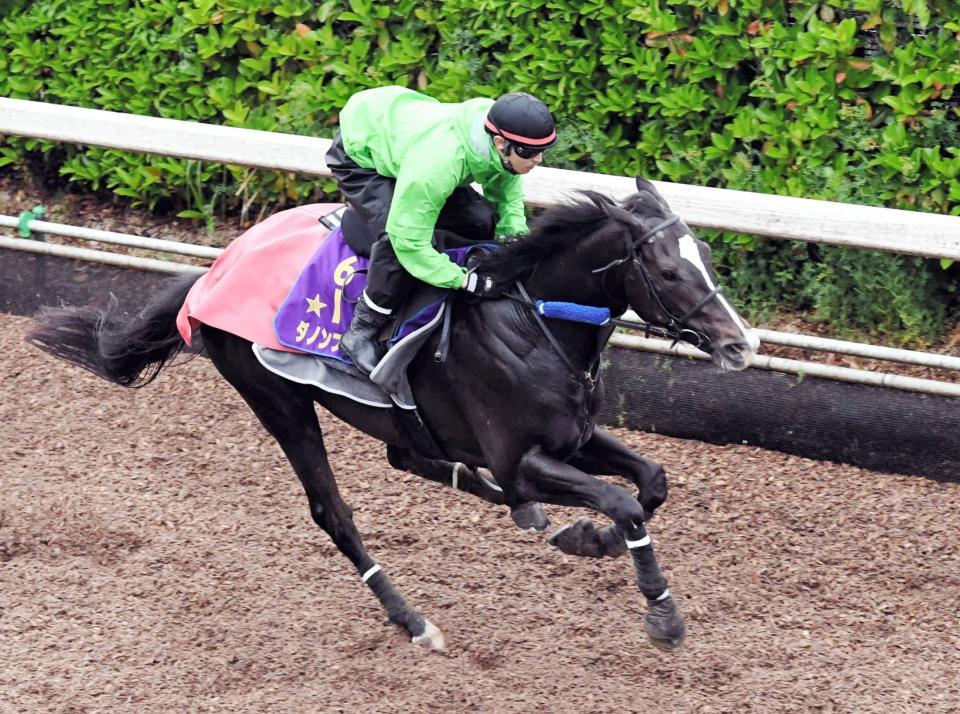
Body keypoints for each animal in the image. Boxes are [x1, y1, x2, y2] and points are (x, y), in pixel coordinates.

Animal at [27, 177, 759, 652]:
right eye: (670, 272)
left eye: (707, 257)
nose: (742, 344)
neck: (530, 318)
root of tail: (213, 272)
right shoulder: (520, 457)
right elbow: (622, 501)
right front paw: (660, 613)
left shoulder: (572, 435)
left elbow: (651, 482)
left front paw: (588, 537)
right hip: (278, 399)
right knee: (334, 511)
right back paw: (414, 621)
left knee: (410, 455)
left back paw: (521, 514)